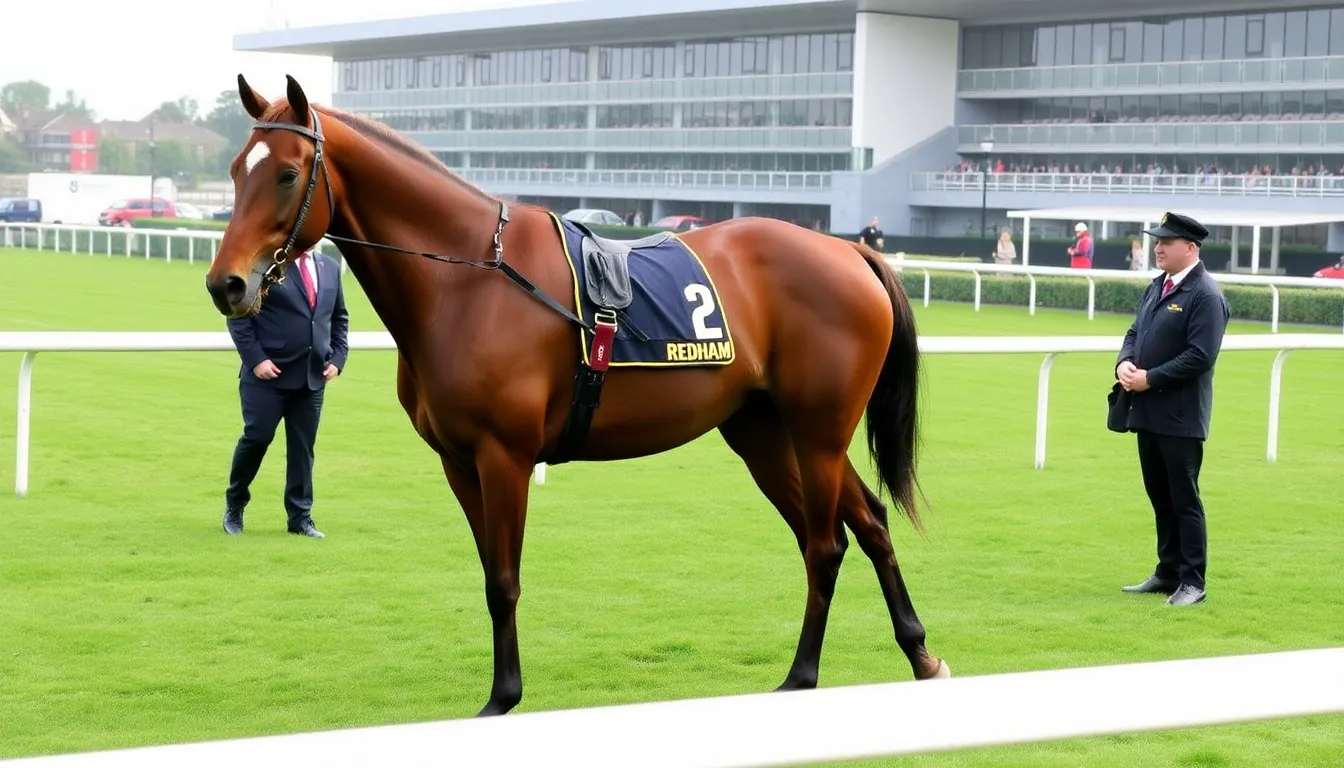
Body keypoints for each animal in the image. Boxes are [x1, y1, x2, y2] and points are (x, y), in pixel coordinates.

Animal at [204, 74, 950, 717]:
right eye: (238, 169)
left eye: (288, 172)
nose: (226, 284)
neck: (470, 281)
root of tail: (850, 252)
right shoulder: (458, 463)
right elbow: (489, 572)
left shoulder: (504, 456)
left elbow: (504, 579)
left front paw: (503, 697)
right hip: (766, 436)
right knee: (866, 523)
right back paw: (919, 653)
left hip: (817, 432)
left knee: (825, 544)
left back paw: (802, 676)